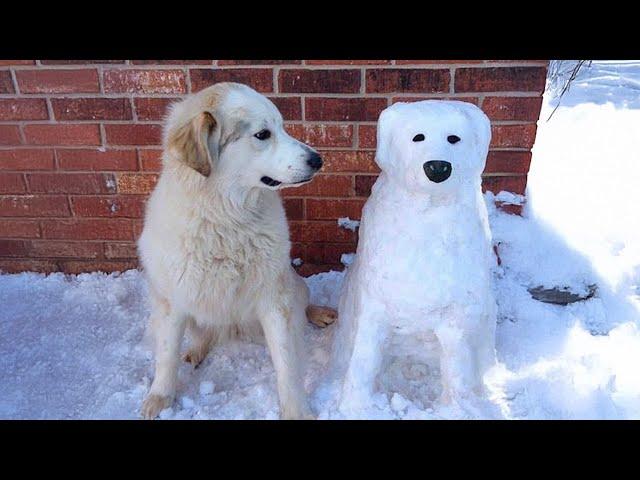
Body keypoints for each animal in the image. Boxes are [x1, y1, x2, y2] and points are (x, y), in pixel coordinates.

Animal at [138, 82, 338, 420]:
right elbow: (166, 356)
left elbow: (287, 364)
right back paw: (196, 351)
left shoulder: (275, 299)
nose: (318, 160)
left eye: (282, 127)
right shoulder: (171, 300)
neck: (227, 217)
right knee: (202, 335)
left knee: (303, 302)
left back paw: (319, 313)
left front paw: (296, 411)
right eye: (263, 134)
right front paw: (160, 398)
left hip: (292, 283)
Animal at [330, 100, 500, 416]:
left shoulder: (454, 320)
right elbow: (364, 360)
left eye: (453, 138)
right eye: (418, 137)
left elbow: (456, 366)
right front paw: (354, 407)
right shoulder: (374, 309)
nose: (438, 167)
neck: (428, 214)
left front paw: (457, 408)